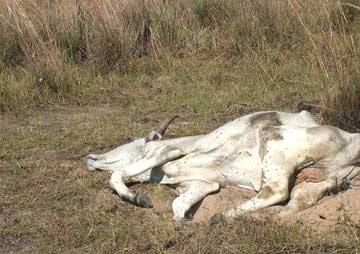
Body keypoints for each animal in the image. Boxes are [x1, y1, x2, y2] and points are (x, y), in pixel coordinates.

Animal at [86, 110, 360, 220]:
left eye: (131, 142)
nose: (91, 157)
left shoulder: (171, 153)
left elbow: (118, 174)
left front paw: (137, 197)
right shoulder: (201, 185)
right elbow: (179, 204)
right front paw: (182, 221)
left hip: (275, 137)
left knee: (277, 190)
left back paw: (220, 217)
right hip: (320, 180)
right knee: (297, 198)